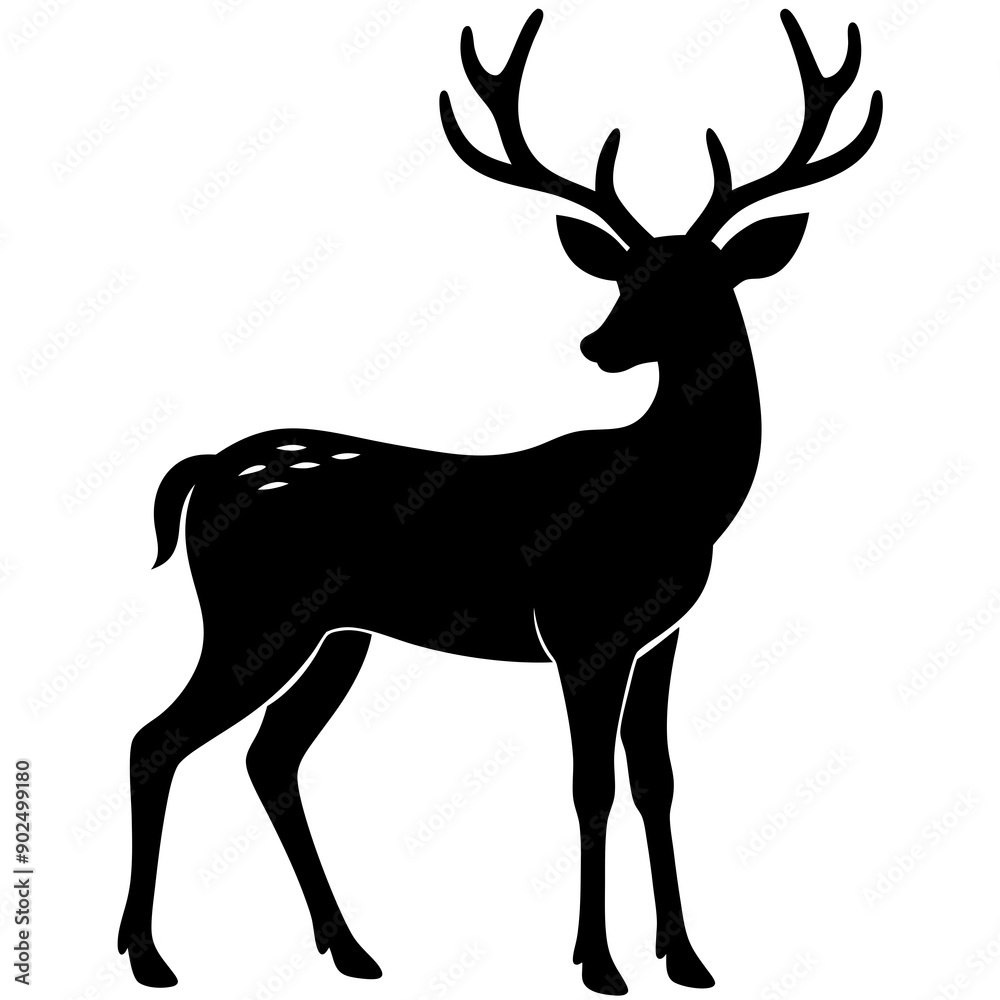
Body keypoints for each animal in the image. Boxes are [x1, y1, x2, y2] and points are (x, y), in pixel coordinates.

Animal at [118, 8, 881, 995]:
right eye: (623, 277)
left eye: (700, 282)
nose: (598, 345)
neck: (676, 497)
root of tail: (204, 468)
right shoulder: (582, 629)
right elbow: (590, 786)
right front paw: (599, 963)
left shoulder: (663, 634)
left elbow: (657, 780)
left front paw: (687, 957)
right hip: (254, 616)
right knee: (157, 739)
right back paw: (148, 955)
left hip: (336, 634)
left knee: (269, 754)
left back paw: (350, 948)